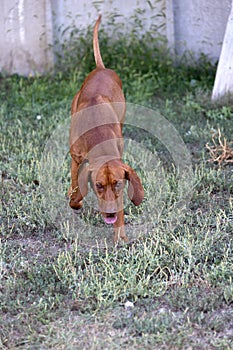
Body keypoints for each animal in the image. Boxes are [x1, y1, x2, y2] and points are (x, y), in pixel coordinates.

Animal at [68, 15, 144, 242]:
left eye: (118, 183)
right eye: (99, 185)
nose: (110, 214)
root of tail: (101, 68)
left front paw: (119, 234)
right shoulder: (76, 160)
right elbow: (76, 186)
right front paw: (76, 202)